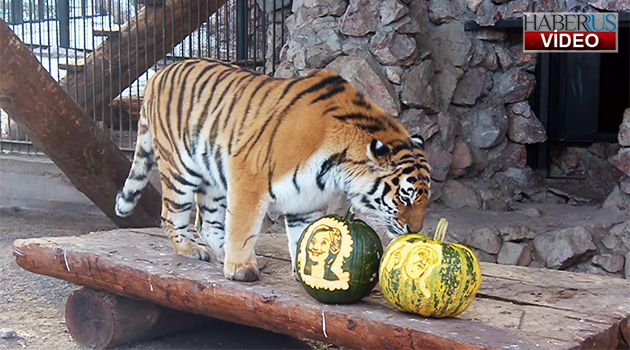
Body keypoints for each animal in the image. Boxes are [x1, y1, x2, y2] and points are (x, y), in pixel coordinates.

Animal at [115, 58, 430, 282]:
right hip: (181, 168)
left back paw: (223, 254)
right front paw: (240, 268)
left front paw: (305, 270)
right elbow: (243, 226)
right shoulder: (248, 174)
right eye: (405, 197)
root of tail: (158, 74)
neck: (335, 168)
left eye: (423, 200)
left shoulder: (307, 199)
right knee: (172, 214)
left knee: (207, 222)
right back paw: (193, 250)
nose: (415, 230)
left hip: (212, 177)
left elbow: (305, 235)